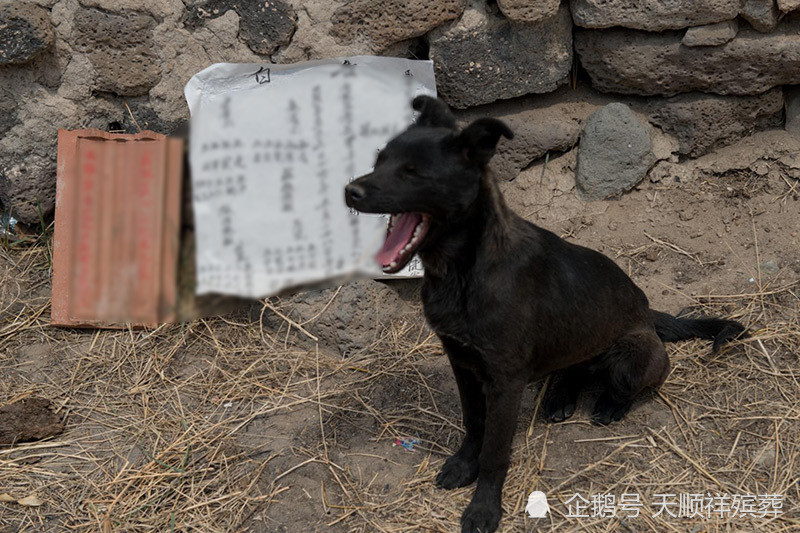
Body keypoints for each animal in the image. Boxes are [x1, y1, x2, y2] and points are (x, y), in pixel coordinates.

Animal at [344, 96, 752, 532]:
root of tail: (647, 311)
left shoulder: (504, 382)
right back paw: (559, 397)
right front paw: (463, 465)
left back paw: (609, 405)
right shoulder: (462, 364)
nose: (349, 190)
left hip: (632, 355)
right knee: (572, 369)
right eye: (379, 160)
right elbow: (473, 424)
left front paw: (484, 508)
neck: (463, 271)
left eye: (412, 172)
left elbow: (495, 453)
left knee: (628, 383)